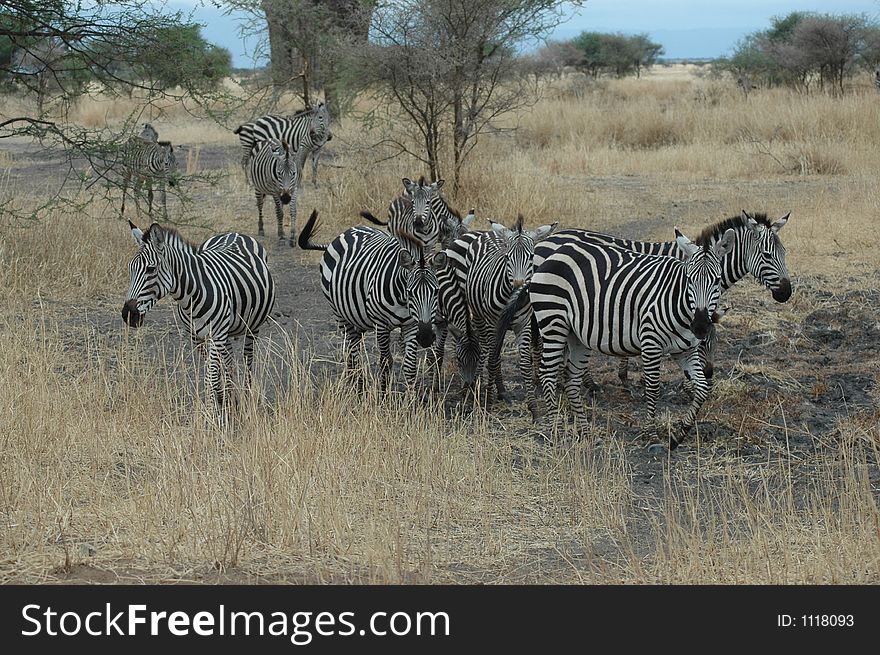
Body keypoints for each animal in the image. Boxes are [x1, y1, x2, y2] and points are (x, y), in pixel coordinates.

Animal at [121, 219, 276, 420]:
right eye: (130, 269)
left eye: (150, 269)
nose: (128, 314)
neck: (191, 296)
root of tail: (234, 233)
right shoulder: (196, 337)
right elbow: (213, 371)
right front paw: (221, 401)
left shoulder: (215, 335)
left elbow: (211, 376)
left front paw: (212, 414)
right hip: (226, 332)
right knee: (229, 360)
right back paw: (231, 398)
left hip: (252, 327)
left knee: (248, 360)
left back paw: (246, 398)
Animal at [300, 208, 450, 390]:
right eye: (410, 292)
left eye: (436, 291)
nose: (426, 337)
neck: (402, 300)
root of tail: (348, 231)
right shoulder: (381, 325)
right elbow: (386, 362)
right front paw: (383, 394)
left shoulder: (412, 325)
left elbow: (410, 366)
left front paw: (412, 396)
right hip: (340, 314)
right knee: (352, 352)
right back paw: (358, 388)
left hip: (356, 316)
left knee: (354, 350)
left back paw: (357, 384)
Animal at [446, 217, 556, 416]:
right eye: (507, 258)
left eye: (531, 257)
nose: (519, 286)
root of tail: (490, 232)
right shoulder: (492, 323)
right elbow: (492, 358)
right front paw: (488, 401)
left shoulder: (523, 324)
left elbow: (525, 365)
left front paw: (534, 410)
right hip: (478, 314)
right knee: (482, 347)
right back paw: (476, 385)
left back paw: (500, 390)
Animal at [524, 227, 736, 452]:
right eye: (688, 279)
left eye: (717, 280)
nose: (700, 326)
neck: (679, 303)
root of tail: (553, 253)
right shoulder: (651, 343)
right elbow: (653, 389)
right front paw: (652, 437)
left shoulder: (685, 351)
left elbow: (703, 388)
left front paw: (678, 435)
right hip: (553, 322)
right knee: (547, 374)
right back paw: (554, 431)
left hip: (577, 335)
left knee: (571, 379)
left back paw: (586, 433)